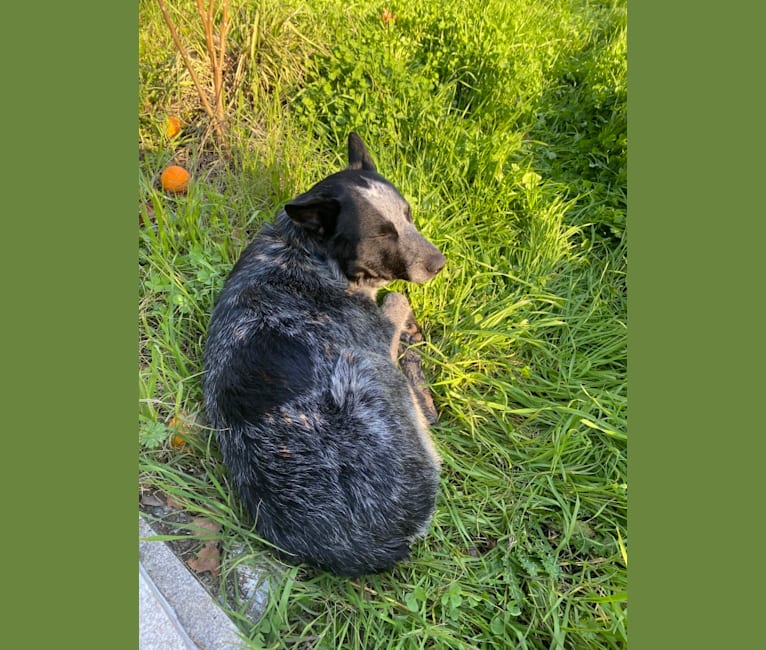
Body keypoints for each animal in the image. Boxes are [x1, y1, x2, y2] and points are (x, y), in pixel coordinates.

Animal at [204, 130, 448, 572]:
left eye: (408, 215)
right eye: (383, 234)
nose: (439, 264)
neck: (304, 252)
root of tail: (371, 547)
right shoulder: (375, 332)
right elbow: (397, 298)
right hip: (372, 374)